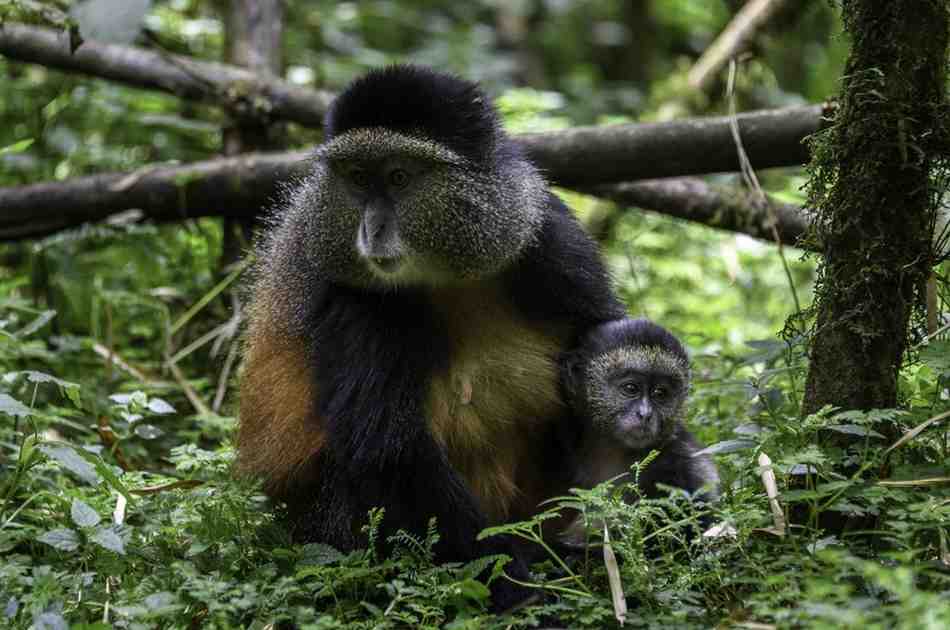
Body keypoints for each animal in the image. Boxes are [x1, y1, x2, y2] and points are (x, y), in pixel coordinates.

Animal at [235, 65, 626, 611]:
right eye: (358, 178)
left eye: (399, 177)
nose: (371, 230)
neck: (447, 273)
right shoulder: (356, 303)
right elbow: (389, 450)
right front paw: (520, 588)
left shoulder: (546, 236)